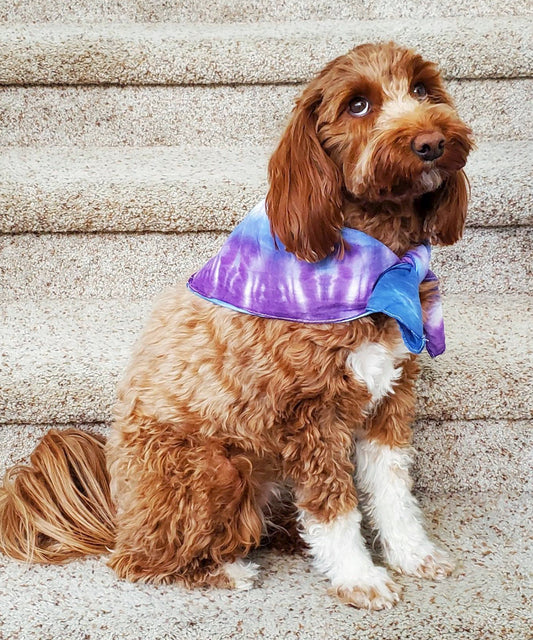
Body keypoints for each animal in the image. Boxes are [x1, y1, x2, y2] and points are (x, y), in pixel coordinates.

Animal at [1, 41, 474, 608]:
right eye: (358, 105)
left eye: (423, 89)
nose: (432, 142)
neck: (382, 261)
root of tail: (118, 512)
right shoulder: (310, 415)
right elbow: (333, 507)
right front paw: (359, 577)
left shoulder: (390, 398)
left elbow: (392, 489)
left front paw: (411, 554)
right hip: (215, 467)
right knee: (141, 561)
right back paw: (227, 570)